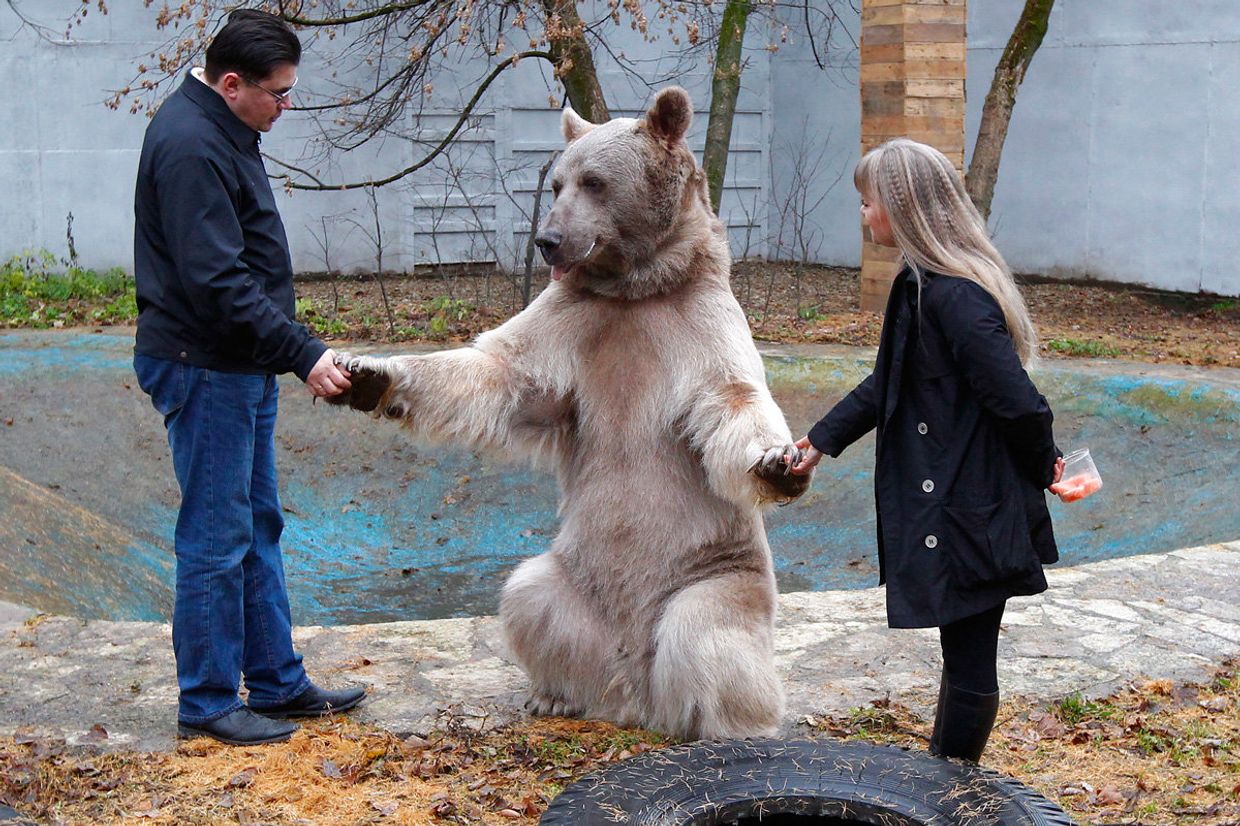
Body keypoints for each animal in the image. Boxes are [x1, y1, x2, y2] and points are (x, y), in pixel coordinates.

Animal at [328, 86, 811, 739]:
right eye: (556, 182)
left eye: (595, 181)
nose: (548, 240)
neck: (636, 287)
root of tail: (638, 694)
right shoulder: (573, 321)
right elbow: (500, 373)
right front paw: (367, 374)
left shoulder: (699, 322)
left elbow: (732, 398)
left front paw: (780, 463)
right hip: (577, 582)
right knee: (529, 597)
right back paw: (557, 694)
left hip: (717, 569)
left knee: (709, 633)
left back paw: (726, 724)